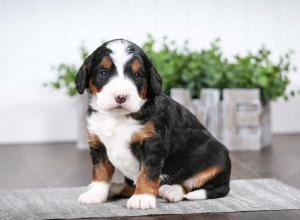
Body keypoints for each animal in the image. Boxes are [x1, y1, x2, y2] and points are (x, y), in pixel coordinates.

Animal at [75, 39, 230, 210]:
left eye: (137, 75)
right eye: (104, 73)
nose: (121, 97)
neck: (117, 117)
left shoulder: (152, 143)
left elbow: (147, 172)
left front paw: (142, 197)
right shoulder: (98, 143)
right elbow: (100, 171)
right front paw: (95, 194)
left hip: (217, 153)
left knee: (191, 184)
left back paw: (171, 191)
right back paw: (115, 188)